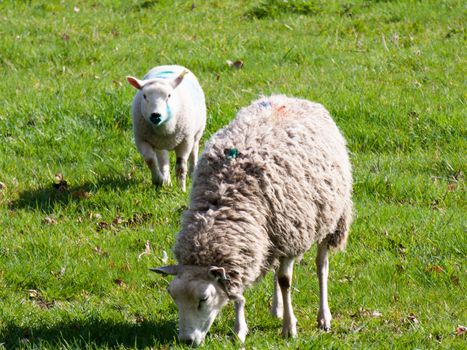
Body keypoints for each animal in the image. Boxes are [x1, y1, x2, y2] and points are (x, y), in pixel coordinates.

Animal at [152, 94, 352, 346]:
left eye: (204, 298)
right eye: (172, 295)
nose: (186, 341)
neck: (224, 201)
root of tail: (289, 97)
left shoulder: (290, 236)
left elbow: (285, 280)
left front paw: (289, 328)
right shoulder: (250, 243)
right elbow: (240, 293)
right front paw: (240, 330)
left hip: (329, 218)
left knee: (321, 266)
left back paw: (323, 316)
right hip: (273, 235)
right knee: (277, 266)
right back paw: (276, 309)